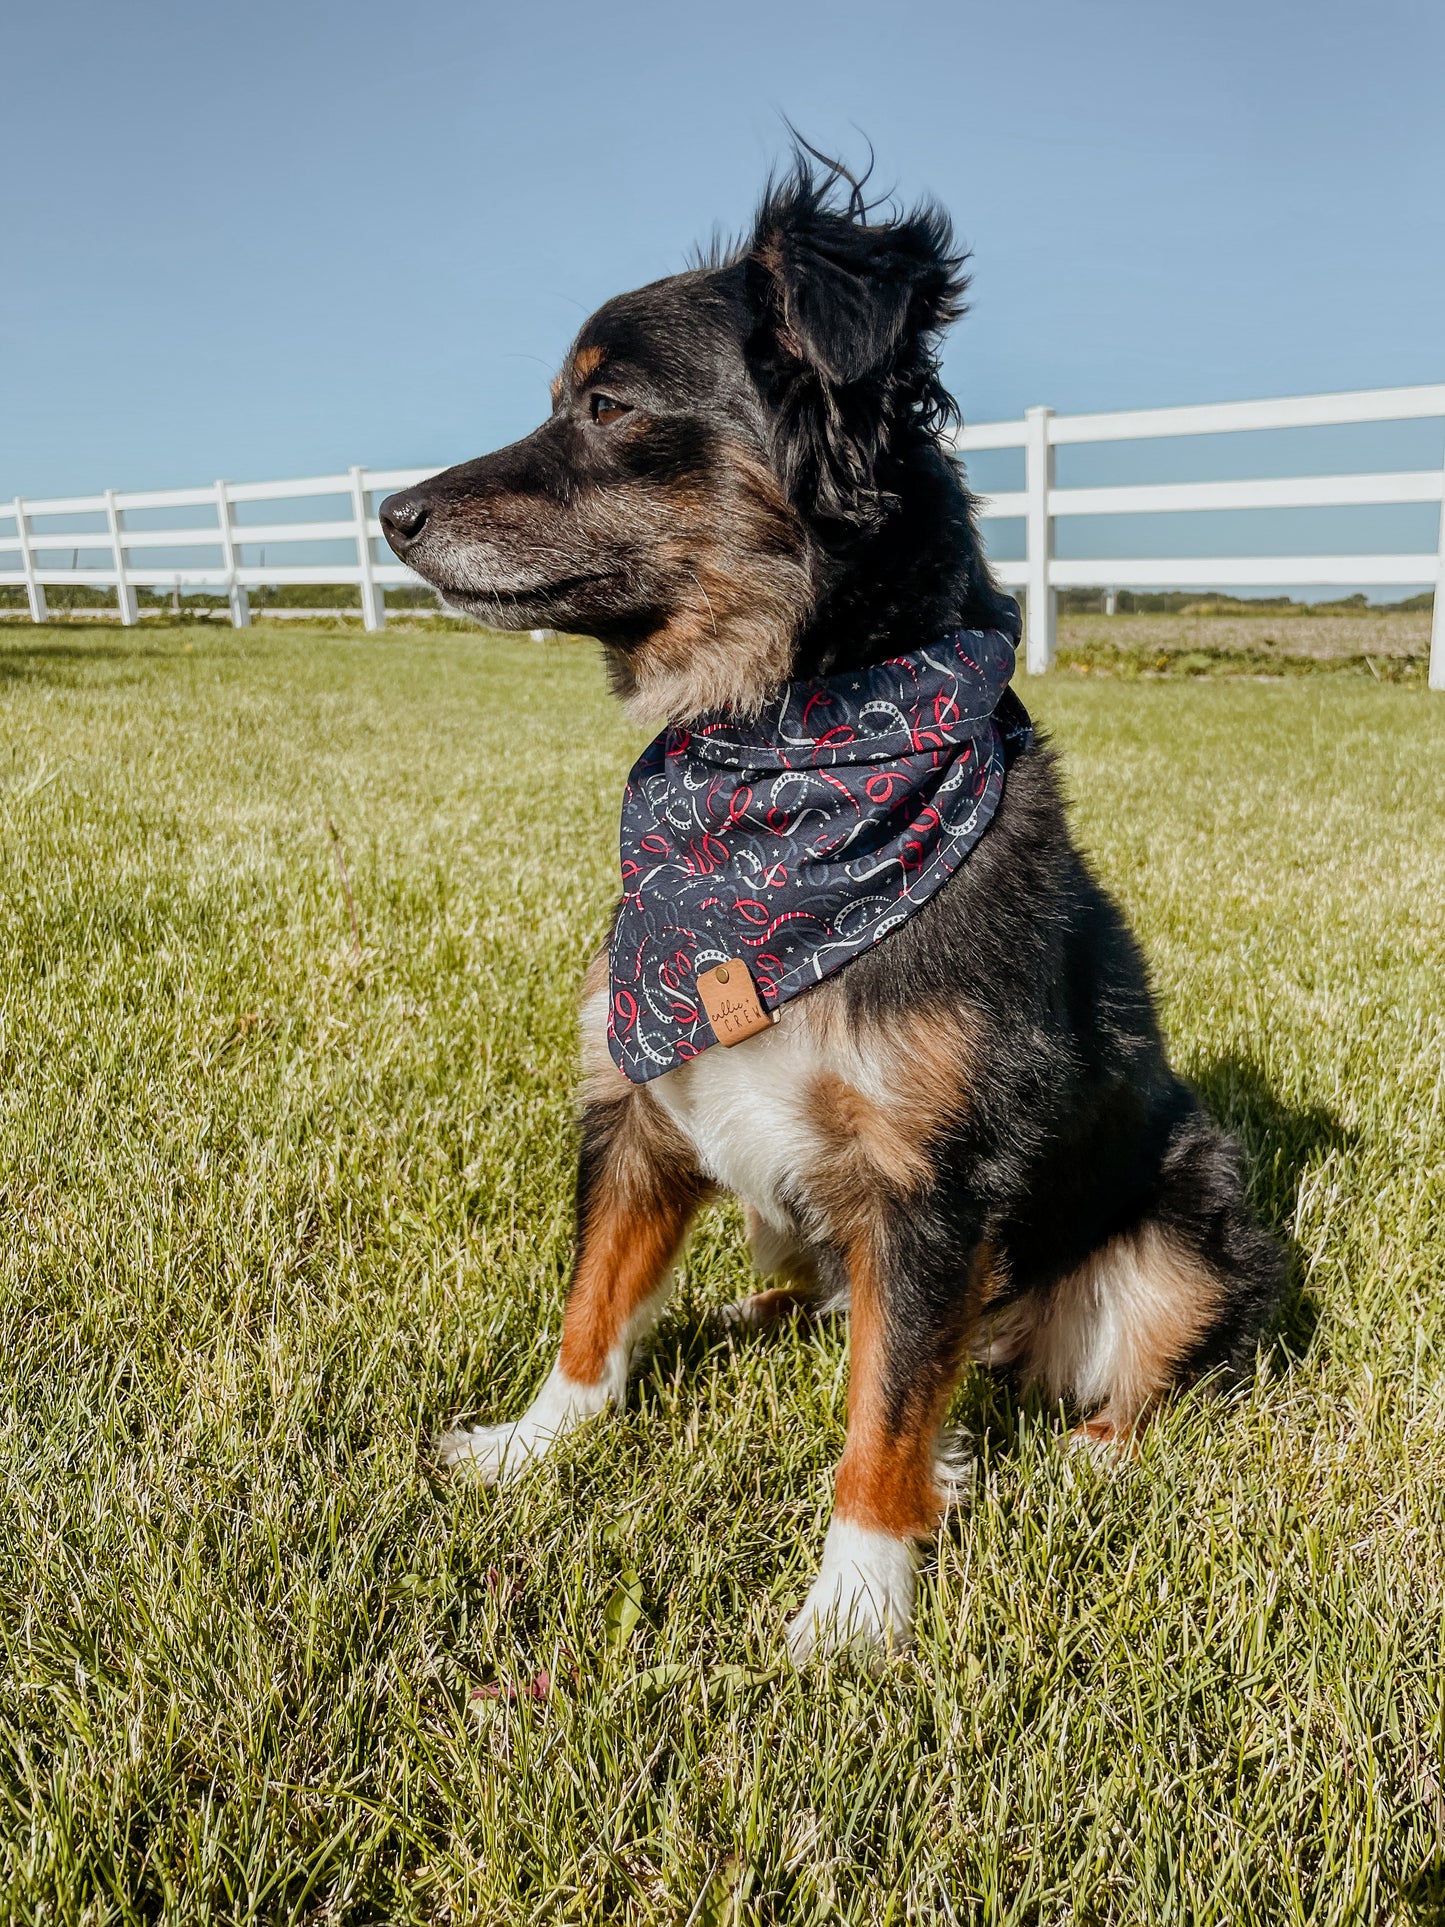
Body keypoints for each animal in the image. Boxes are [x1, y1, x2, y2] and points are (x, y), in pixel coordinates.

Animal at [379, 154, 1287, 1657]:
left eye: (609, 407)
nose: (391, 514)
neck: (776, 760)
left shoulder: (930, 1179)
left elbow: (883, 1413)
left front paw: (856, 1603)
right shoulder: (640, 1092)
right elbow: (591, 1305)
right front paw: (533, 1443)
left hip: (1189, 1210)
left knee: (1124, 1365)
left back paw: (1086, 1458)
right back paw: (764, 1319)